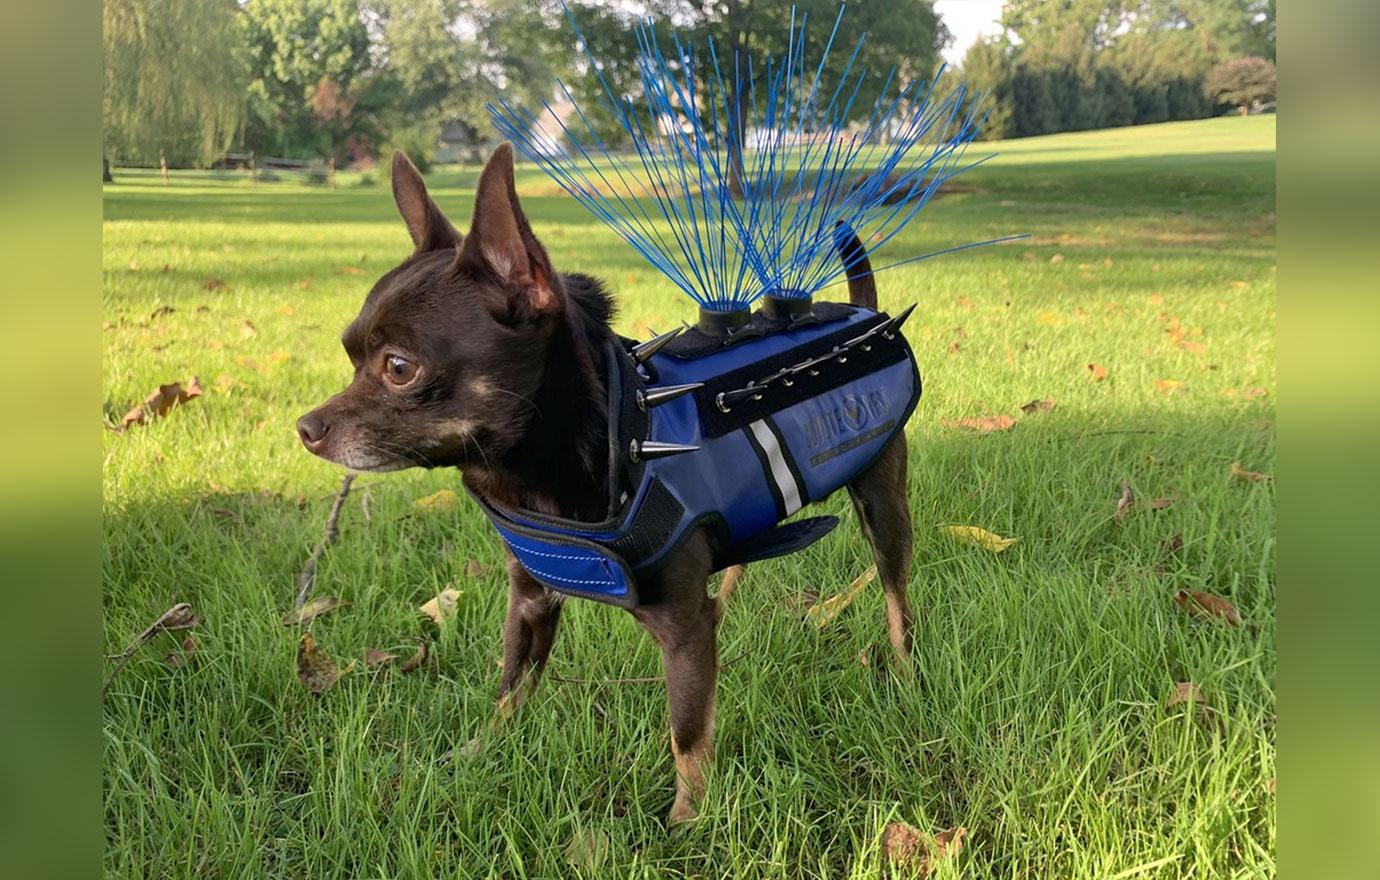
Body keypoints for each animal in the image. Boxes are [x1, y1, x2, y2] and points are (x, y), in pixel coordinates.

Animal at [299, 144, 916, 827]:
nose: (307, 428)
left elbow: (687, 736)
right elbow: (510, 687)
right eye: (351, 357)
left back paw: (905, 676)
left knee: (898, 603)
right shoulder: (531, 601)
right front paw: (479, 754)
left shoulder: (681, 631)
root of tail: (867, 312)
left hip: (884, 507)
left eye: (399, 368)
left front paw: (685, 824)